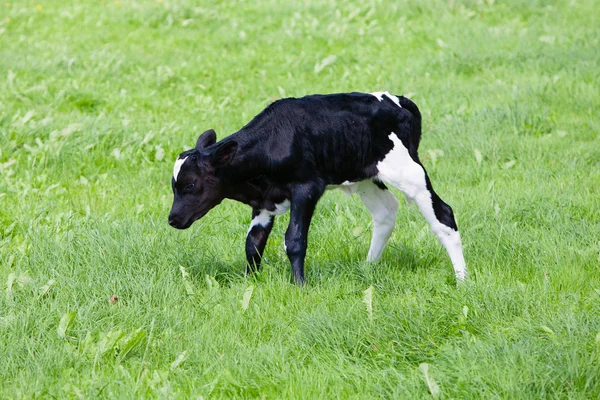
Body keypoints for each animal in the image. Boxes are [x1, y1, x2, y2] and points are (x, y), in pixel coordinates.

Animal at [166, 90, 466, 284]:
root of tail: (402, 101)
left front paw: (299, 285)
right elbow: (253, 243)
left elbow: (295, 240)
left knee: (444, 215)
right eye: (174, 187)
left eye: (190, 184)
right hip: (365, 176)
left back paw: (461, 279)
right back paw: (368, 268)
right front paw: (251, 282)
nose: (173, 219)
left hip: (409, 171)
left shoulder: (306, 188)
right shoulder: (264, 202)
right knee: (386, 212)